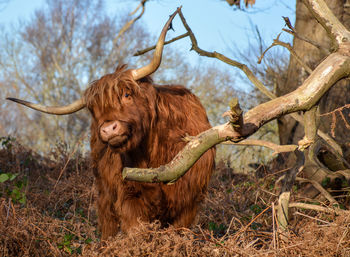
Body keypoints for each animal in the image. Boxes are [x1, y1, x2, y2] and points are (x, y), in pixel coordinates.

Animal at [7, 10, 216, 238]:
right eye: (93, 111)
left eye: (127, 94)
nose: (108, 128)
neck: (151, 156)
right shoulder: (127, 197)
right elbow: (135, 231)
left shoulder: (187, 203)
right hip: (104, 192)